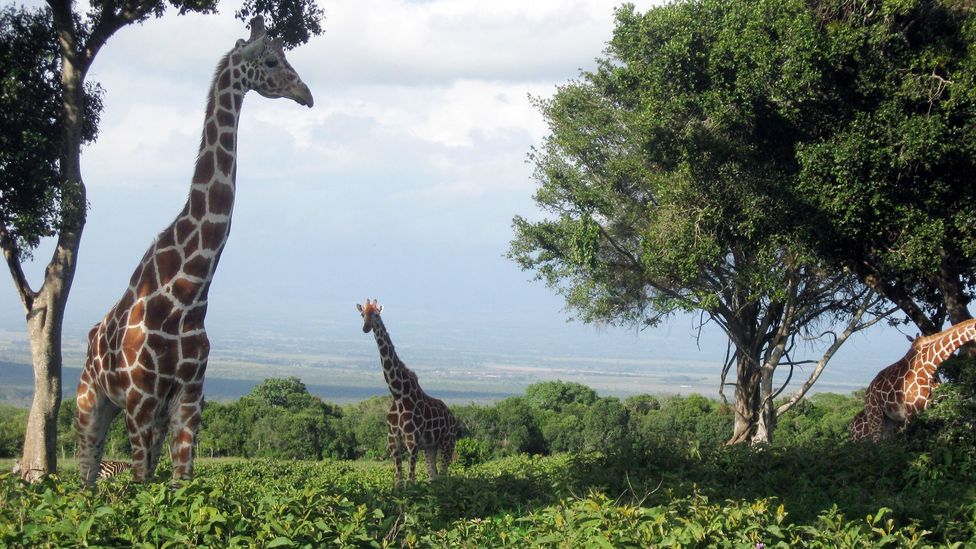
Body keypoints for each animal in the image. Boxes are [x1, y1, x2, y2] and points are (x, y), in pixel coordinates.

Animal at [76, 16, 312, 484]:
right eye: (271, 61)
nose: (306, 94)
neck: (187, 289)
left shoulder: (188, 398)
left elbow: (180, 488)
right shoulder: (141, 400)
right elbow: (141, 487)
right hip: (90, 403)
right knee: (83, 477)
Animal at [356, 300, 464, 484]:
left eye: (376, 315)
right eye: (363, 314)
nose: (366, 328)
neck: (398, 394)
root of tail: (452, 416)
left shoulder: (412, 441)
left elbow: (410, 481)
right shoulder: (393, 440)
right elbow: (399, 482)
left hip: (447, 442)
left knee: (444, 474)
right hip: (430, 446)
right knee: (433, 475)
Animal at [848, 316, 976, 440]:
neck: (929, 365)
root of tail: (867, 393)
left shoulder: (929, 409)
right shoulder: (911, 412)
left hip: (889, 421)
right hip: (875, 415)